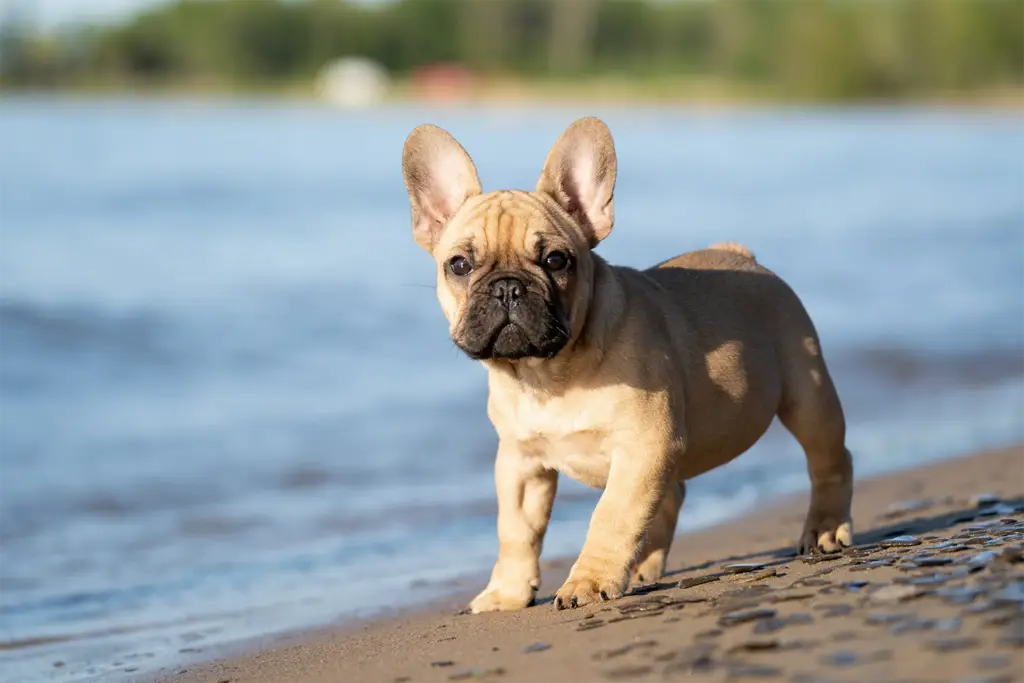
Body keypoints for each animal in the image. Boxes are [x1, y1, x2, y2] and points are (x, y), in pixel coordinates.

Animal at [399, 117, 856, 614]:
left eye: (556, 260)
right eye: (459, 265)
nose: (507, 287)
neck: (547, 374)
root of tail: (743, 256)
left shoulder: (642, 446)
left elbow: (611, 517)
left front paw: (588, 580)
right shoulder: (520, 463)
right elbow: (516, 532)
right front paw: (507, 593)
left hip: (807, 393)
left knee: (830, 459)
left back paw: (826, 529)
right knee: (671, 496)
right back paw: (643, 565)